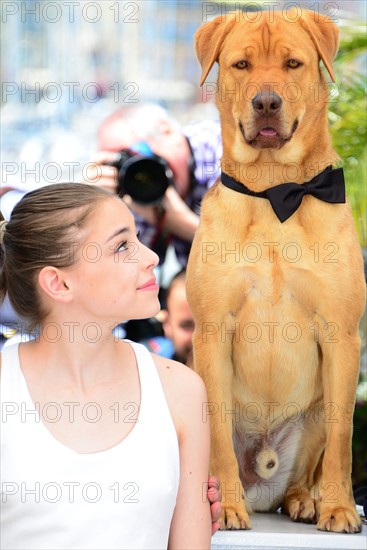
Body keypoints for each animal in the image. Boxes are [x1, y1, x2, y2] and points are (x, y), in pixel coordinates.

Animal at [188, 7, 366, 536]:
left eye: (292, 63)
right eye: (242, 64)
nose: (266, 102)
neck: (273, 191)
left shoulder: (341, 334)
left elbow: (343, 442)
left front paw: (339, 508)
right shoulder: (212, 331)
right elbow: (220, 441)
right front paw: (227, 507)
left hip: (313, 414)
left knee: (304, 472)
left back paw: (305, 501)